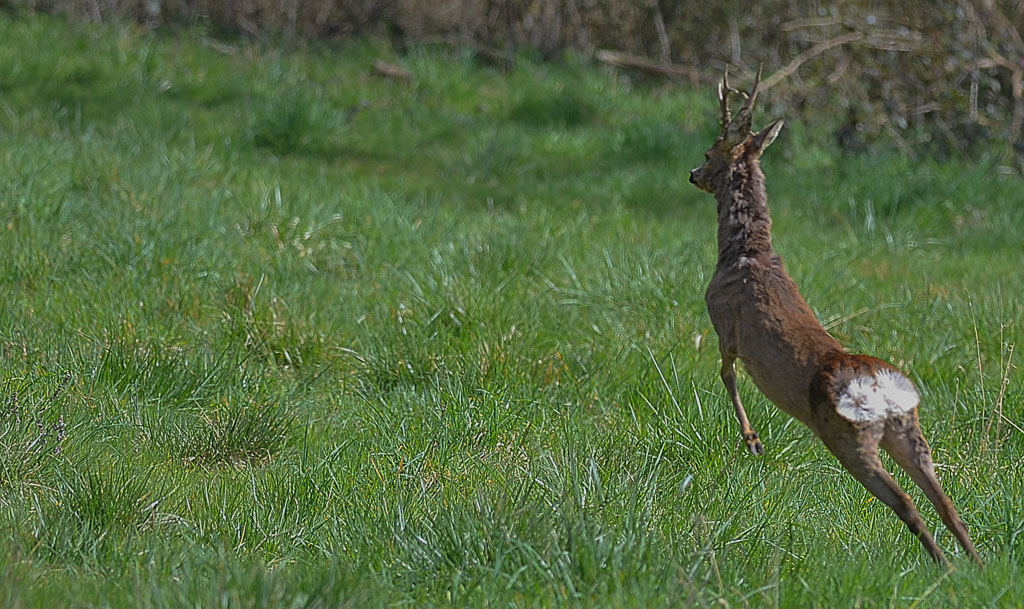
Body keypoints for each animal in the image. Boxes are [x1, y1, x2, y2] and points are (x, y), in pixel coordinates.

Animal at [688, 68, 983, 569]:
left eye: (709, 152)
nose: (693, 173)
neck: (746, 253)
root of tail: (883, 389)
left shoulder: (725, 320)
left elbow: (726, 373)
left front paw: (752, 440)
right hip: (908, 431)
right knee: (945, 501)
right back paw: (977, 566)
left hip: (848, 436)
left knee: (907, 502)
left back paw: (943, 566)